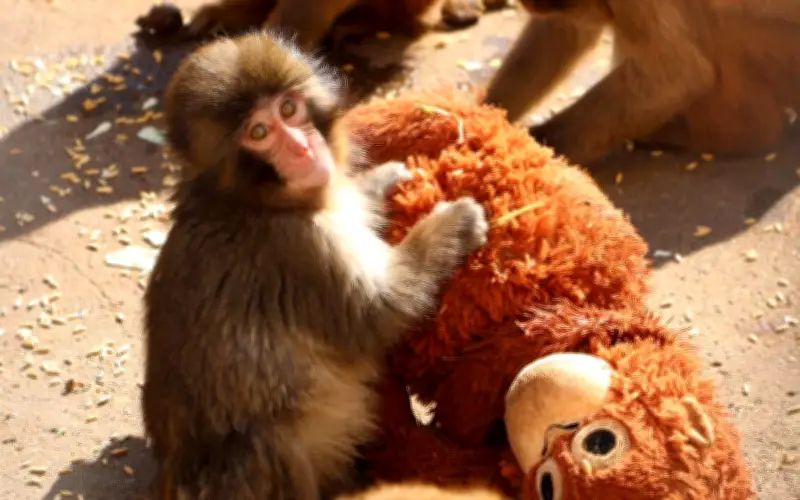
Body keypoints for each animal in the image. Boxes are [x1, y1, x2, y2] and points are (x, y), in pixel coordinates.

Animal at [141, 31, 489, 500]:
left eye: (289, 109)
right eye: (259, 132)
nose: (302, 148)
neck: (253, 202)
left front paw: (381, 182)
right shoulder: (300, 248)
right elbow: (379, 313)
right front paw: (453, 224)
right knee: (267, 442)